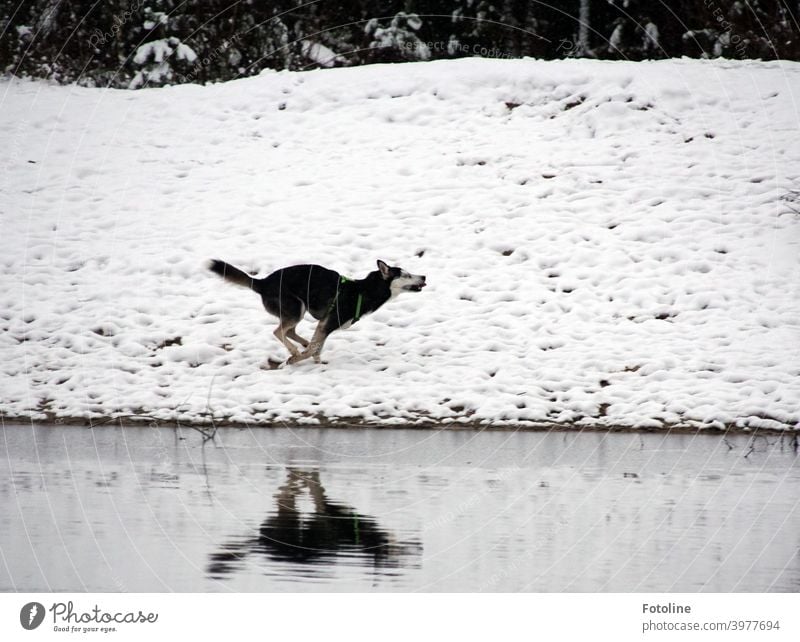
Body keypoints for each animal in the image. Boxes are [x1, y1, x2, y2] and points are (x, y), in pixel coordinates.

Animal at [209, 256, 428, 364]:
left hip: (297, 311)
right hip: (296, 307)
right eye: (406, 275)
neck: (363, 291)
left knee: (290, 331)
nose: (424, 276)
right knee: (279, 331)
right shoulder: (328, 322)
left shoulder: (324, 324)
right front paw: (296, 359)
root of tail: (262, 282)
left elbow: (317, 346)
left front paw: (315, 361)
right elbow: (314, 347)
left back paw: (302, 344)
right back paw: (294, 350)